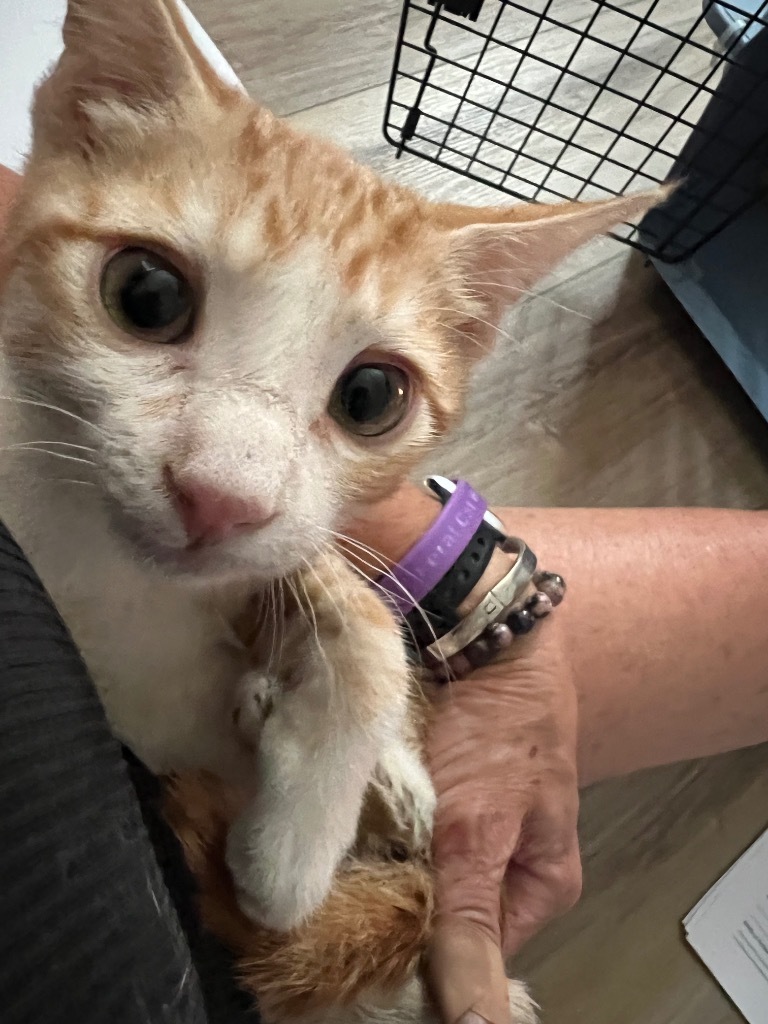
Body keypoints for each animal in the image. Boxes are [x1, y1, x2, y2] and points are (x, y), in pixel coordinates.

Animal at [0, 2, 663, 1024]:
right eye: (146, 294)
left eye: (370, 397)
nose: (219, 495)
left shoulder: (284, 549)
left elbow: (364, 628)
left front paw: (290, 847)